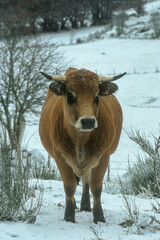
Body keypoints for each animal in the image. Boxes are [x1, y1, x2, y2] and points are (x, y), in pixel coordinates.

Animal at [38, 67, 125, 223]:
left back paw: (85, 206)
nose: (88, 121)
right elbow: (69, 186)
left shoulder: (103, 157)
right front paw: (69, 216)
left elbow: (96, 187)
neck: (80, 141)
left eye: (96, 96)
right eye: (70, 95)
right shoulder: (60, 157)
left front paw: (99, 217)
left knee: (86, 181)